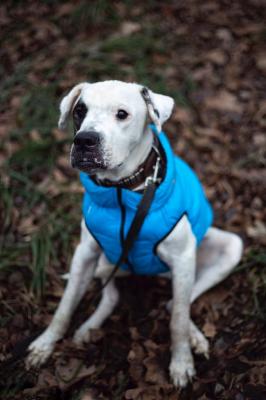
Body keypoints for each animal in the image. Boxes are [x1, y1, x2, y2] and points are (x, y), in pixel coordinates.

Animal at [26, 81, 242, 388]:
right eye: (79, 111)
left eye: (122, 114)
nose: (84, 140)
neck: (122, 190)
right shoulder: (85, 254)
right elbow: (64, 307)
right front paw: (45, 345)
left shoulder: (183, 257)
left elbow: (178, 319)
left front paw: (181, 362)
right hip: (108, 263)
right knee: (113, 296)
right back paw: (88, 329)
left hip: (227, 249)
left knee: (176, 303)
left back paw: (196, 337)